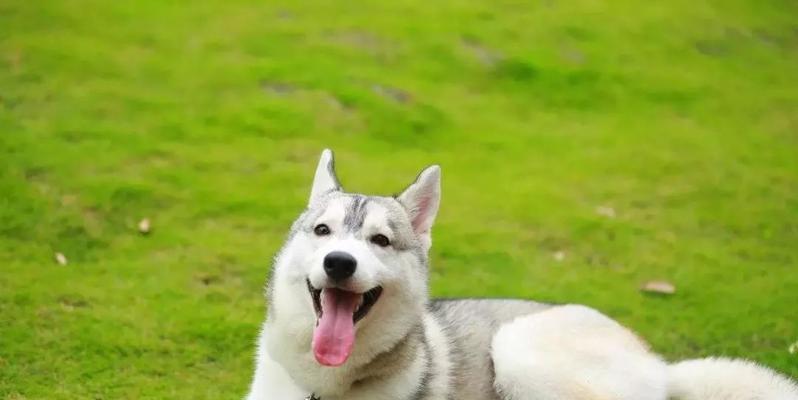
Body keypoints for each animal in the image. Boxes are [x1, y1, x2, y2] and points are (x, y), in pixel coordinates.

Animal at [247, 150, 796, 400]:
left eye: (380, 241)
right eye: (323, 231)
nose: (339, 262)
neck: (323, 385)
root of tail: (660, 363)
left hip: (519, 349)